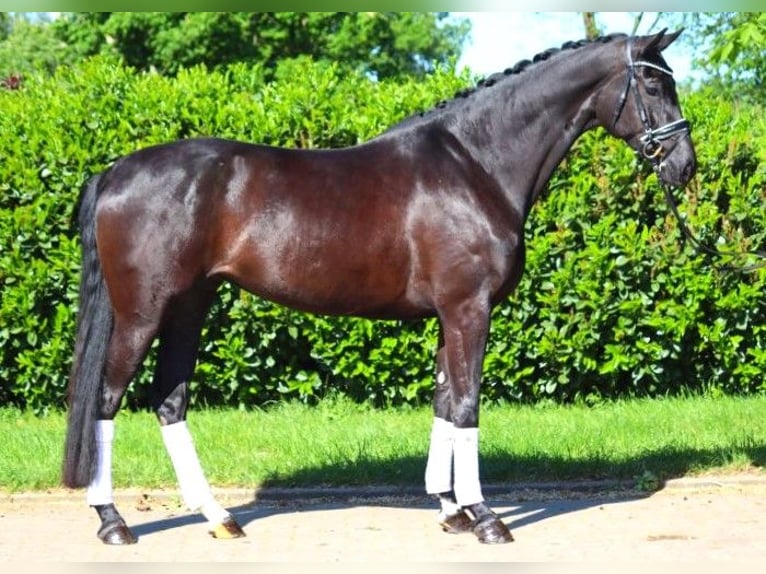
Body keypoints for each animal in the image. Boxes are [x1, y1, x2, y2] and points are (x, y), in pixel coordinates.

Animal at [62, 29, 696, 546]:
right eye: (653, 83)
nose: (685, 165)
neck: (477, 165)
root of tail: (115, 171)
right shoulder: (470, 310)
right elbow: (467, 405)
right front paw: (486, 517)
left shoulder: (449, 315)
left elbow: (444, 402)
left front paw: (450, 510)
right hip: (143, 312)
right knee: (107, 398)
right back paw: (113, 521)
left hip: (189, 306)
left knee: (169, 400)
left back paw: (218, 517)